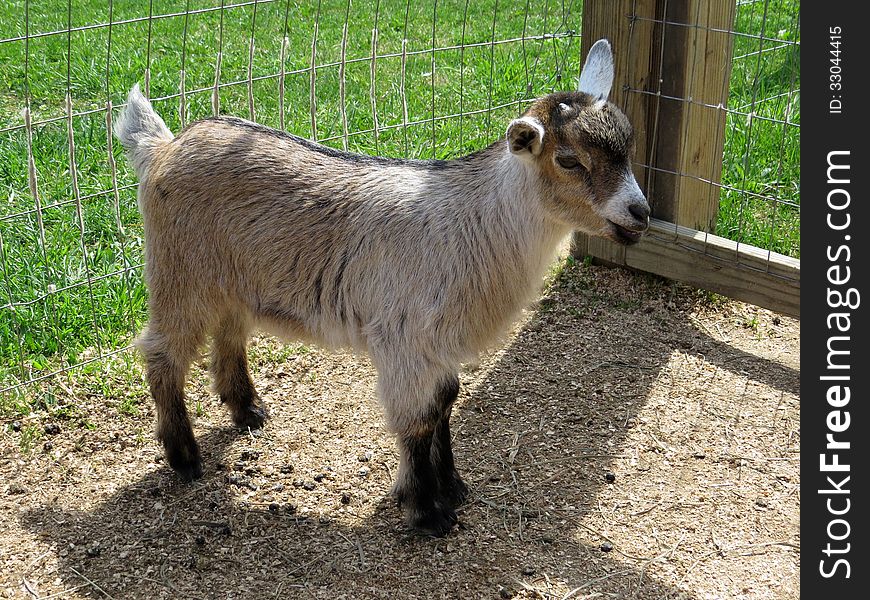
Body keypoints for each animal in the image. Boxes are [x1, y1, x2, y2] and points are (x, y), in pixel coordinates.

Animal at [114, 39, 648, 536]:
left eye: (627, 148)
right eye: (569, 161)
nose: (640, 213)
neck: (477, 223)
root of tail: (163, 146)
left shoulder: (440, 343)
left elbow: (445, 402)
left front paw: (452, 485)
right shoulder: (405, 338)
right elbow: (417, 420)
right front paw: (426, 509)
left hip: (229, 277)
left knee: (229, 331)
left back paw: (247, 410)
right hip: (180, 272)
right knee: (162, 352)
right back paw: (184, 456)